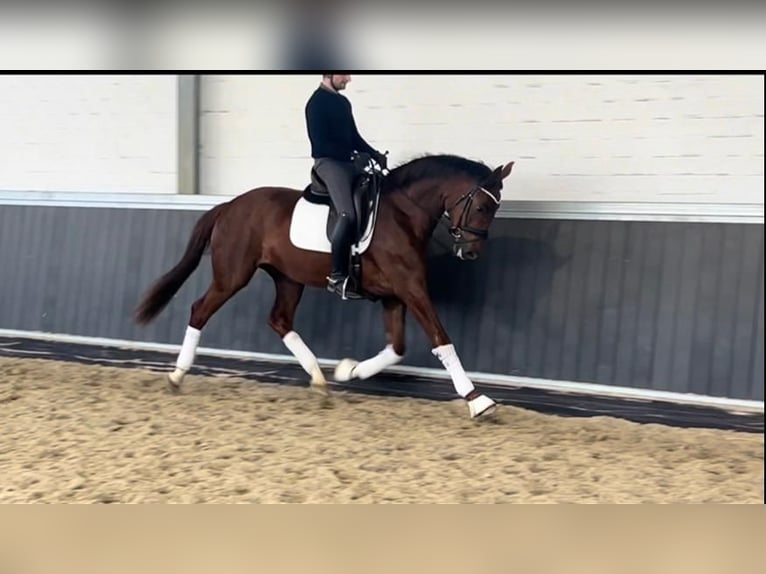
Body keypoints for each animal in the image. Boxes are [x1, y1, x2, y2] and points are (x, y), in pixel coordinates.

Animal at [134, 153, 515, 418]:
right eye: (482, 206)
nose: (470, 252)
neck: (402, 215)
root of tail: (229, 205)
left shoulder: (394, 296)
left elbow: (396, 349)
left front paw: (349, 370)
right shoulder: (411, 289)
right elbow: (441, 340)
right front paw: (478, 401)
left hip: (288, 278)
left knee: (280, 320)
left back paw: (319, 379)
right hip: (232, 276)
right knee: (200, 310)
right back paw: (177, 376)